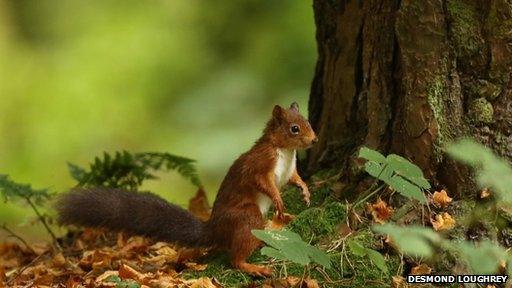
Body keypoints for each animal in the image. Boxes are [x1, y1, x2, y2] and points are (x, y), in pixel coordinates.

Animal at [58, 102, 318, 276]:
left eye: (308, 122)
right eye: (294, 128)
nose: (314, 140)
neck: (285, 151)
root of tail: (215, 229)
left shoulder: (289, 170)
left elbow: (295, 179)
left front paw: (305, 192)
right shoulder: (260, 164)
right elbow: (263, 183)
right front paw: (278, 199)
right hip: (247, 217)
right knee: (235, 256)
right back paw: (252, 266)